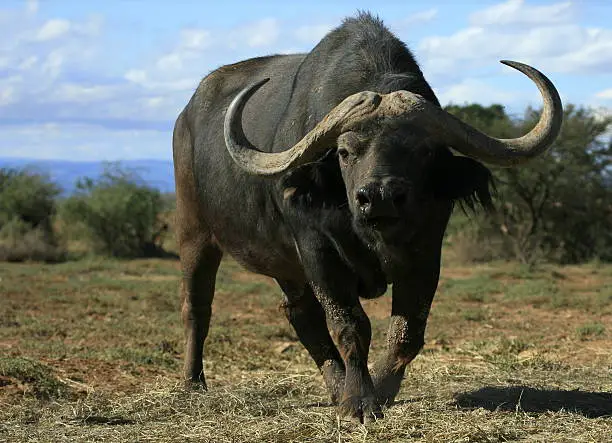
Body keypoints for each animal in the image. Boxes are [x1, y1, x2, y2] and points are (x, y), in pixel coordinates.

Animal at [173, 13, 564, 424]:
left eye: (424, 151)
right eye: (345, 152)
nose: (379, 198)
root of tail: (186, 117)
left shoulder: (427, 254)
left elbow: (407, 331)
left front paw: (382, 389)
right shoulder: (318, 253)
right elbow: (350, 325)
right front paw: (359, 400)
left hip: (284, 266)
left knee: (299, 314)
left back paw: (335, 387)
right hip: (194, 234)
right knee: (197, 306)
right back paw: (194, 383)